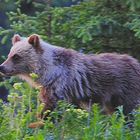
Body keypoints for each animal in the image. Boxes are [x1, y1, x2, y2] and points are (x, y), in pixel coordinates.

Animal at [0, 33, 140, 117]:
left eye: (16, 56)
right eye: (9, 54)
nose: (2, 67)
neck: (47, 72)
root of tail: (136, 62)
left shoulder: (60, 84)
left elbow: (51, 107)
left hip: (125, 88)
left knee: (129, 109)